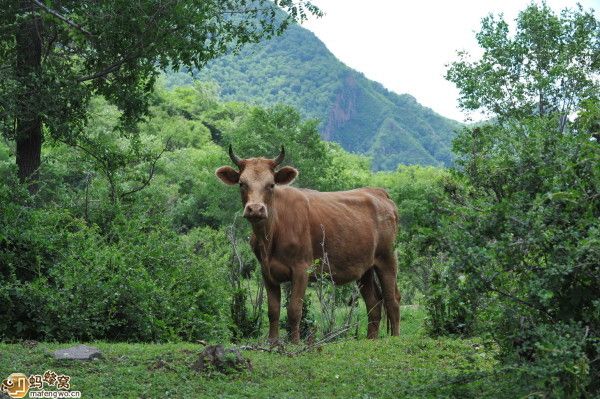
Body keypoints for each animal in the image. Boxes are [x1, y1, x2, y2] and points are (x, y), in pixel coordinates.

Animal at [214, 147, 398, 344]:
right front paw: (272, 343)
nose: (255, 209)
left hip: (387, 258)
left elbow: (294, 310)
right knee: (374, 303)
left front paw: (294, 343)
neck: (270, 237)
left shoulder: (301, 269)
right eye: (242, 183)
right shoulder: (266, 272)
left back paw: (396, 337)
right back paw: (372, 339)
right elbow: (273, 311)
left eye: (271, 184)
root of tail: (377, 191)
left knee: (392, 300)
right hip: (364, 268)